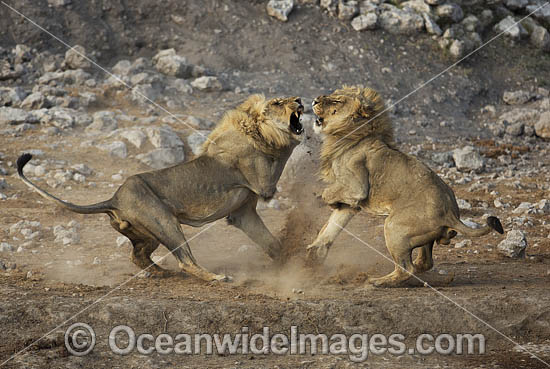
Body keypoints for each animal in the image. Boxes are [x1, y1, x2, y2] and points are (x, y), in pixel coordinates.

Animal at [306, 86, 504, 288]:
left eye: (337, 101)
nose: (314, 100)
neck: (350, 135)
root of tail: (451, 213)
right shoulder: (352, 203)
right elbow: (331, 227)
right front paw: (314, 254)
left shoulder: (357, 186)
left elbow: (329, 193)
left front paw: (329, 202)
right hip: (423, 236)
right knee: (424, 262)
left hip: (394, 227)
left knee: (406, 268)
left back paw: (376, 281)